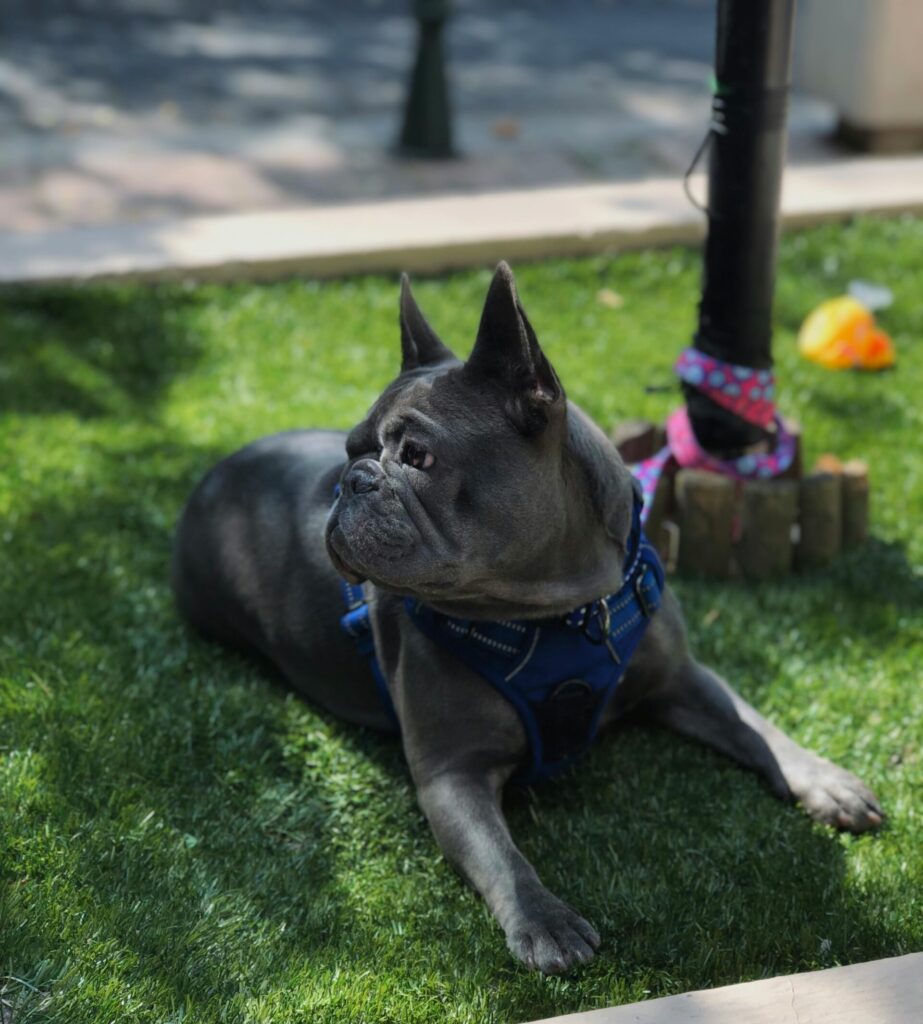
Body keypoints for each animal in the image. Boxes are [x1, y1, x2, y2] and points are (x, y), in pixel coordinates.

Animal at [169, 260, 880, 970]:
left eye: (417, 456)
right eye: (352, 450)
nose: (353, 479)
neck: (562, 611)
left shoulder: (683, 676)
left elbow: (758, 726)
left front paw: (825, 780)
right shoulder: (452, 775)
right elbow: (502, 857)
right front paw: (545, 920)